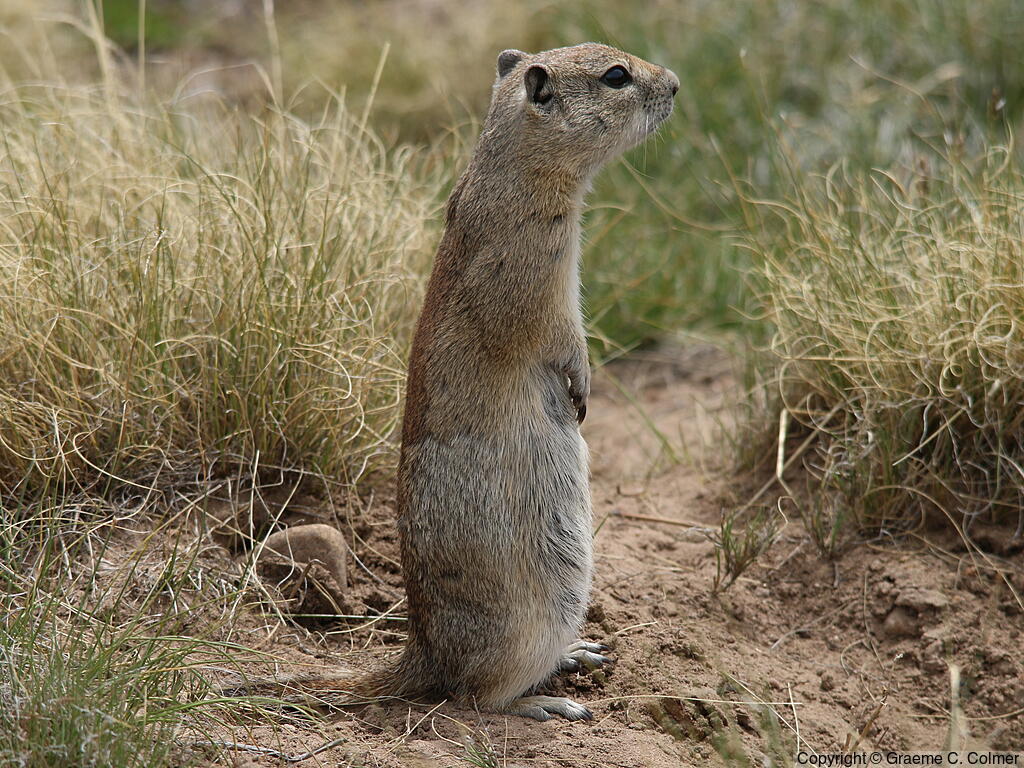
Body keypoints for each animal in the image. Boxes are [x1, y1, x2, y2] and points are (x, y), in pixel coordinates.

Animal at [223, 43, 678, 722]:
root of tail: (423, 654)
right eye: (616, 76)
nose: (675, 84)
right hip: (533, 619)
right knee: (475, 696)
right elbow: (562, 341)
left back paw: (576, 656)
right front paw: (582, 388)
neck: (511, 173)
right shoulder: (537, 281)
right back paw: (545, 702)